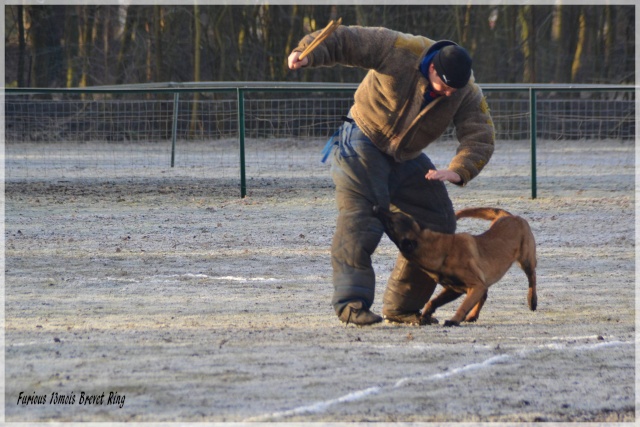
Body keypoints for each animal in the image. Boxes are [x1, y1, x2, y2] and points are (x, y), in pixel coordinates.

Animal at [372, 207, 536, 328]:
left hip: (527, 260)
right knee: (484, 295)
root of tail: (510, 216)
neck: (440, 251)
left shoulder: (475, 285)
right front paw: (424, 316)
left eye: (392, 220)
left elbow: (463, 305)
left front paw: (453, 320)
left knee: (532, 278)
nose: (376, 207)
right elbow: (433, 301)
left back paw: (532, 300)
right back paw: (473, 315)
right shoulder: (454, 289)